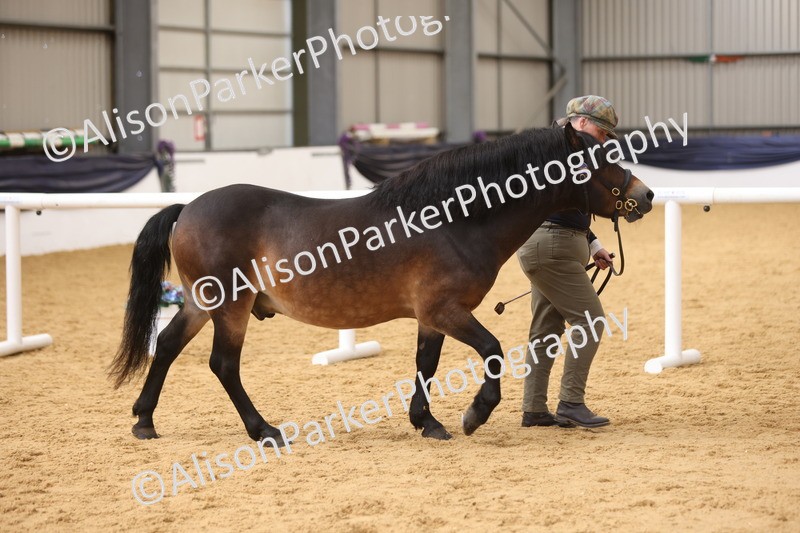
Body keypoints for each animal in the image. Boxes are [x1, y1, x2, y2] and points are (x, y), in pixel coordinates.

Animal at [109, 123, 653, 445]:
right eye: (601, 161)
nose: (645, 195)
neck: (455, 219)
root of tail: (189, 208)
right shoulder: (447, 311)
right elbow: (494, 351)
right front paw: (474, 414)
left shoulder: (431, 317)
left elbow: (425, 365)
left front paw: (427, 422)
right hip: (230, 307)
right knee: (223, 365)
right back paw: (263, 429)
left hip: (200, 303)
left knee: (167, 344)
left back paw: (144, 420)